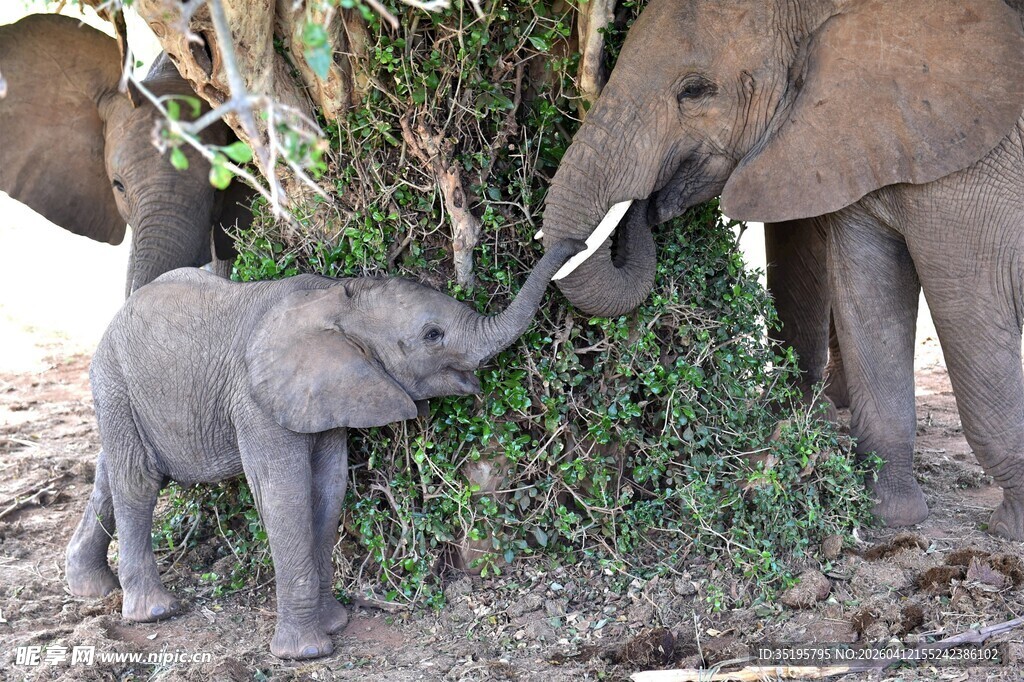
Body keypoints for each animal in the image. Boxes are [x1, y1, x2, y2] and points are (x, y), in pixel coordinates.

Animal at [64, 238, 583, 659]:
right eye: (432, 335)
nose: (576, 242)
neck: (336, 298)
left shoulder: (331, 394)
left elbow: (328, 489)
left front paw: (335, 623)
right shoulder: (256, 401)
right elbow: (285, 495)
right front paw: (308, 652)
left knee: (111, 471)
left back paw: (90, 587)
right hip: (115, 378)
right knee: (138, 480)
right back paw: (155, 612)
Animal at [540, 0, 1024, 539]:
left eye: (695, 91)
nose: (642, 207)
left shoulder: (966, 166)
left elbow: (970, 312)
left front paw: (1009, 528)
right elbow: (868, 301)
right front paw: (891, 517)